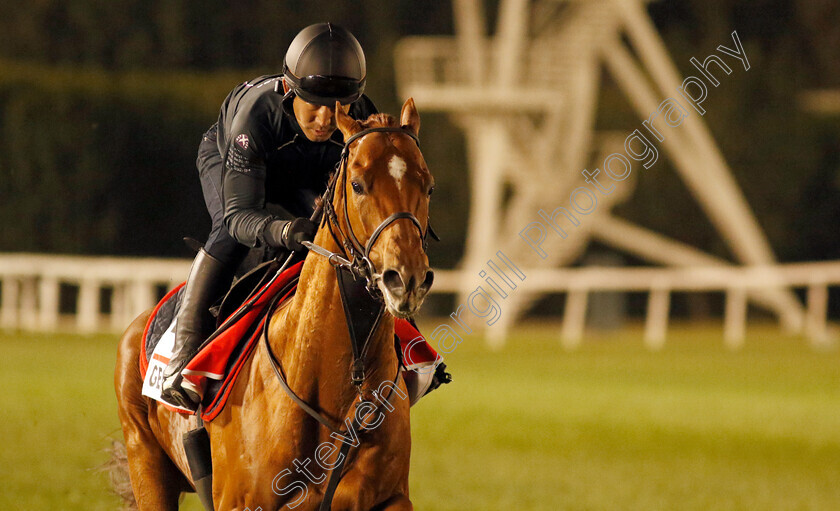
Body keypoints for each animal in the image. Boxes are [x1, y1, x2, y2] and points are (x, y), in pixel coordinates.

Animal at [114, 100, 436, 511]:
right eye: (358, 185)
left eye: (428, 185)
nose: (406, 277)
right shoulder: (240, 502)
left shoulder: (390, 498)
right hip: (146, 463)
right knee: (224, 235)